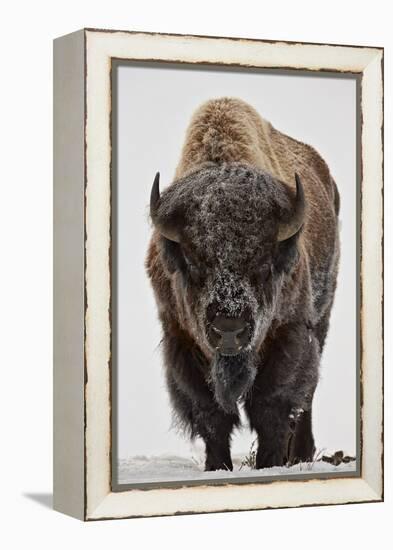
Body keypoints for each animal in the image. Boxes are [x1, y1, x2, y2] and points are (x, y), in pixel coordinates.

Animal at [145, 97, 338, 472]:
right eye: (192, 260)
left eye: (263, 262)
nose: (229, 329)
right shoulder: (181, 339)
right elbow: (210, 414)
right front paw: (217, 467)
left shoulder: (289, 333)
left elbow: (272, 406)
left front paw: (269, 464)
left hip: (322, 318)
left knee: (307, 396)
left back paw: (301, 454)